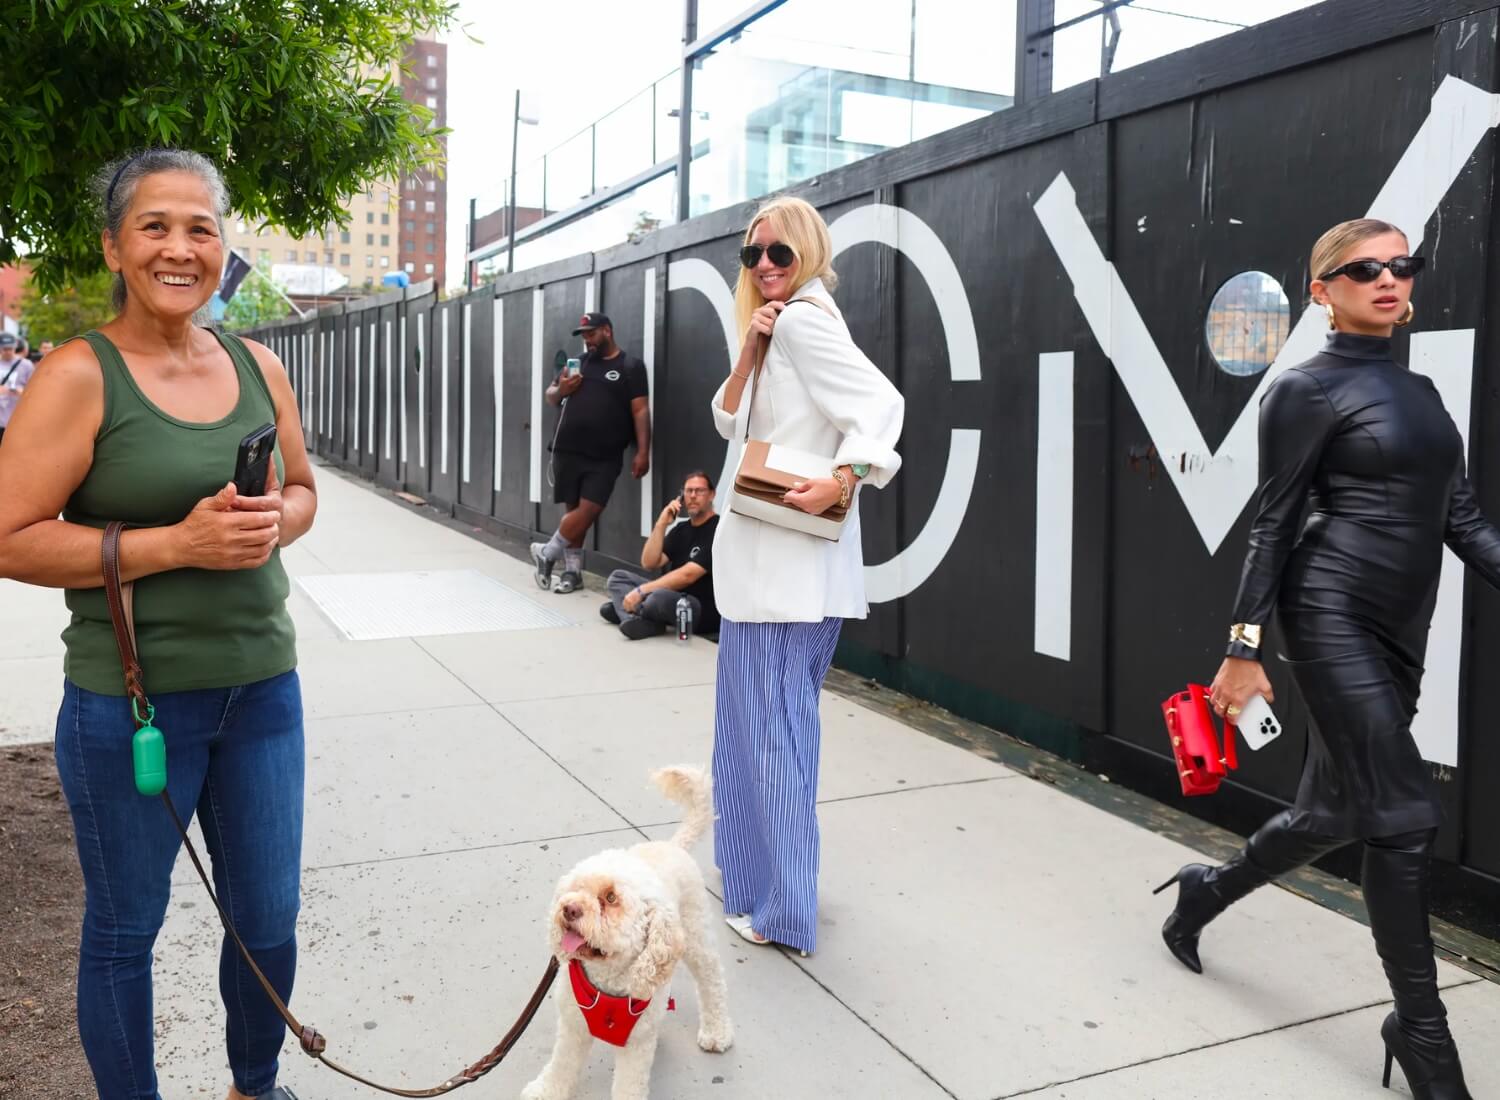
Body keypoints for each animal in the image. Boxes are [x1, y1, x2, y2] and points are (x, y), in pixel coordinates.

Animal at [525, 762, 735, 1098]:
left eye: (611, 898)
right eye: (576, 888)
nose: (568, 909)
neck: (608, 981)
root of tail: (673, 845)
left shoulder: (637, 1045)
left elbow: (628, 1085)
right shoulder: (572, 1025)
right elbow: (561, 1065)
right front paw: (546, 1091)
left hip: (696, 936)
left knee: (712, 980)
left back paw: (717, 1031)